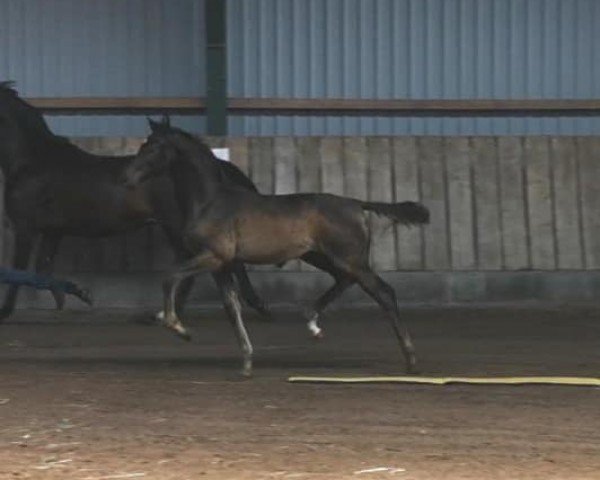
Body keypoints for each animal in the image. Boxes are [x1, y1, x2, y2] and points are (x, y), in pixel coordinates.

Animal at [0, 80, 270, 320]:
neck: (31, 163)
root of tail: (217, 166)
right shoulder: (53, 231)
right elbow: (42, 270)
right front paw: (70, 297)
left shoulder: (25, 228)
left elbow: (20, 271)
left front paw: (7, 311)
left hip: (175, 226)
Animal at [124, 123, 428, 376]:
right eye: (143, 145)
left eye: (154, 147)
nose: (129, 178)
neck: (210, 202)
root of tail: (356, 203)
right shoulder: (221, 265)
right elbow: (231, 307)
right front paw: (247, 362)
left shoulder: (214, 256)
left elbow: (170, 277)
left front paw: (179, 328)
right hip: (321, 255)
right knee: (345, 279)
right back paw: (312, 321)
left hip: (348, 257)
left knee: (384, 292)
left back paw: (412, 361)